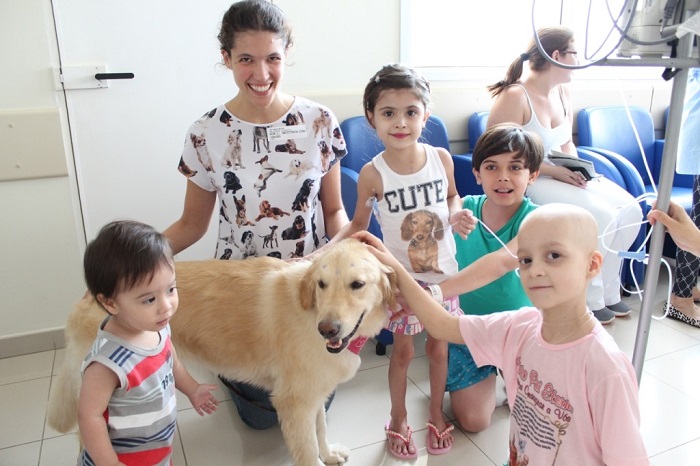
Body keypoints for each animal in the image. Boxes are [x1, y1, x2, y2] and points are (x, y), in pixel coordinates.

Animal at [47, 240, 396, 466]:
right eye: (322, 284)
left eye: (357, 284)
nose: (327, 330)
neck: (310, 314)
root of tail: (85, 300)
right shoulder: (293, 403)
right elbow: (308, 452)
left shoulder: (314, 395)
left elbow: (320, 431)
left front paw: (329, 454)